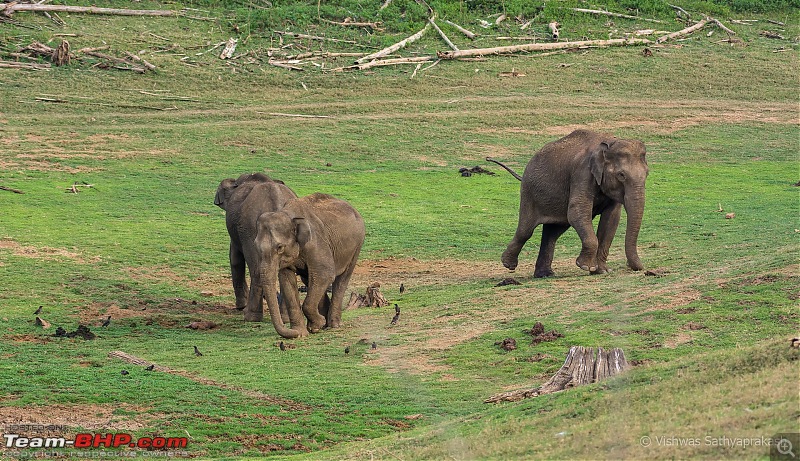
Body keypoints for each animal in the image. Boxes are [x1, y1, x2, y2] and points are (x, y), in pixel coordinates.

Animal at [212, 172, 304, 328]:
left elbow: (235, 258)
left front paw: (241, 306)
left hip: (250, 230)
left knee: (256, 269)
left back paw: (250, 316)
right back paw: (285, 318)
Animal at [256, 191, 366, 338]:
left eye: (280, 247)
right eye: (255, 246)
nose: (293, 332)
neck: (288, 214)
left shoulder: (316, 242)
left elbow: (325, 274)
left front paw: (316, 326)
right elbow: (287, 280)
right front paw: (301, 333)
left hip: (357, 246)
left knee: (341, 279)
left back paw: (333, 324)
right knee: (309, 279)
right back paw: (324, 322)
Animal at [488, 128, 648, 276]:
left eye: (647, 174)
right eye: (621, 175)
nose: (638, 268)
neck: (609, 142)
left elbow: (611, 220)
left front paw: (602, 271)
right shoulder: (582, 172)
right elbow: (577, 210)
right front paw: (586, 267)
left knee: (553, 233)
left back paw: (545, 274)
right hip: (529, 192)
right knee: (526, 230)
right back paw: (508, 264)